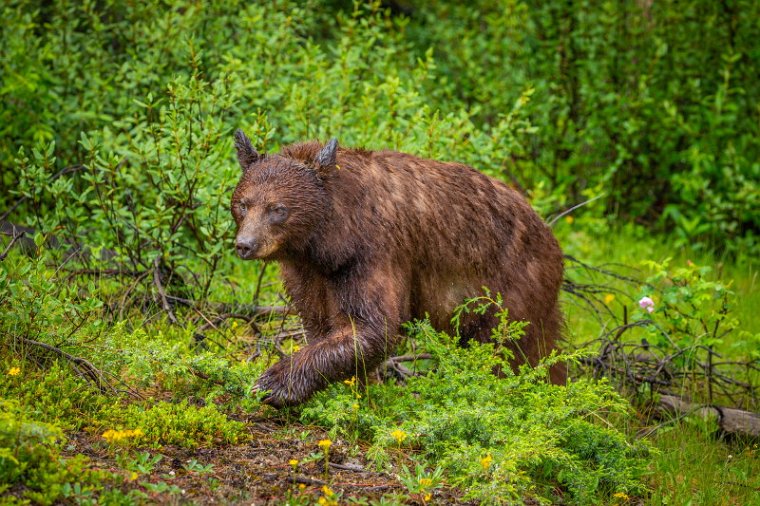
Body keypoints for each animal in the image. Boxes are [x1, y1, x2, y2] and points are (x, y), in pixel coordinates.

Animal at [232, 130, 564, 408]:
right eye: (243, 204)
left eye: (278, 209)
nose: (245, 245)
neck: (327, 237)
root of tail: (550, 235)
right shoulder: (308, 270)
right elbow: (319, 321)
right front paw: (357, 387)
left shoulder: (373, 252)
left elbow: (373, 325)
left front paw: (273, 383)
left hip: (511, 284)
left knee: (515, 349)